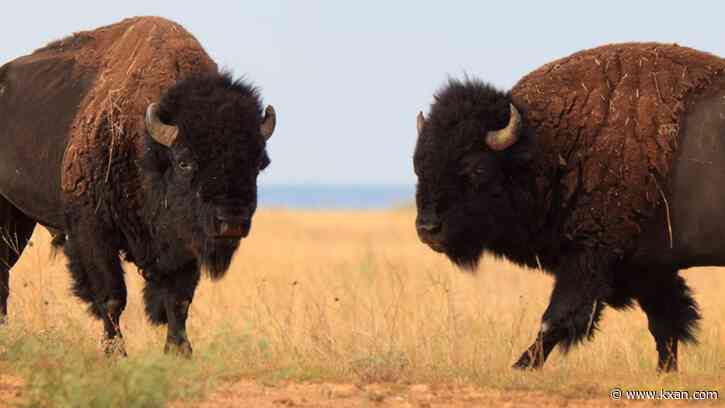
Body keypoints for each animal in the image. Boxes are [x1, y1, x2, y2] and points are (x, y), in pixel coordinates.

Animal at [0, 17, 276, 355]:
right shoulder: (93, 233)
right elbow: (112, 297)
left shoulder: (182, 244)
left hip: (19, 220)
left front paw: (180, 351)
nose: (232, 221)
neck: (145, 144)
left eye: (259, 164)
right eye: (184, 161)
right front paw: (115, 353)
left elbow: (178, 300)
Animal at [414, 43, 725, 371]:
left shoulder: (589, 258)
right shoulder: (647, 267)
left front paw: (520, 367)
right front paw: (665, 371)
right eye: (418, 164)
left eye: (477, 168)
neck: (549, 146)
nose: (428, 228)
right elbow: (665, 324)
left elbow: (557, 319)